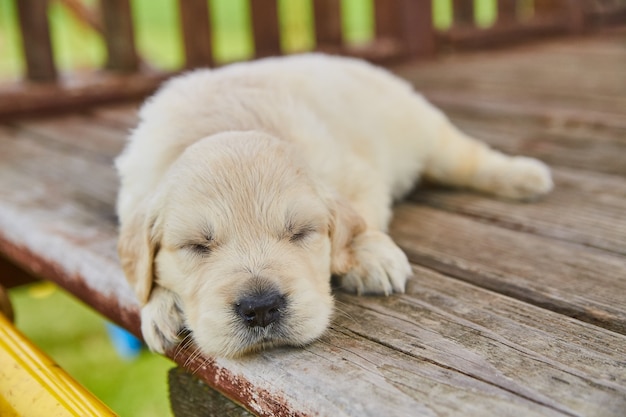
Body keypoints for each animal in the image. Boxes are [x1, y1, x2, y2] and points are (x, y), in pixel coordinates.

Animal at [114, 52, 548, 358]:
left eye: (300, 233)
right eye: (197, 247)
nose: (261, 308)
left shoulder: (353, 173)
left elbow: (362, 219)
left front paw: (371, 258)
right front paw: (161, 306)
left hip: (425, 133)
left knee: (469, 157)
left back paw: (525, 176)